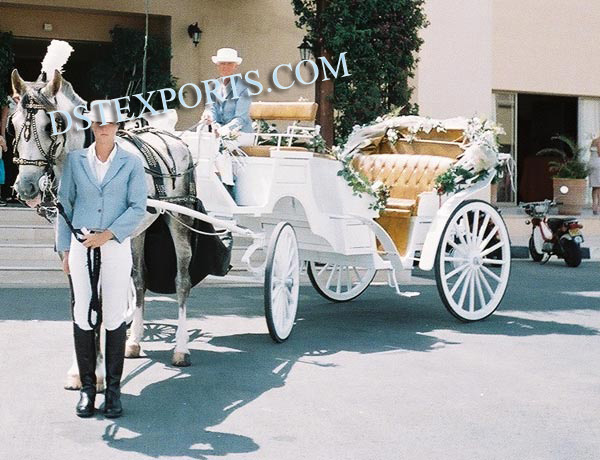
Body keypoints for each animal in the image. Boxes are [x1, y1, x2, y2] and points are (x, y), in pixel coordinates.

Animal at [9, 70, 197, 390]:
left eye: (51, 125)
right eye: (13, 123)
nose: (26, 187)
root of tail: (174, 138)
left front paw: (96, 372)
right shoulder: (71, 250)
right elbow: (81, 299)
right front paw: (80, 370)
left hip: (178, 218)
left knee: (182, 279)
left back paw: (181, 349)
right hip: (136, 232)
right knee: (139, 279)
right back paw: (133, 341)